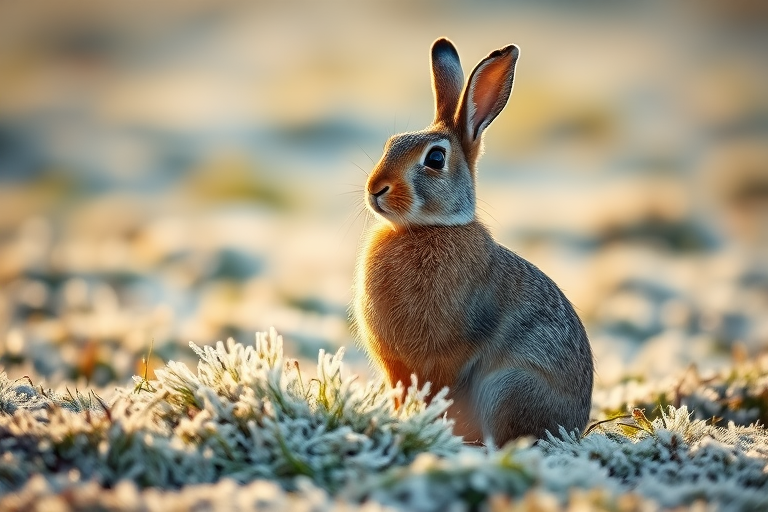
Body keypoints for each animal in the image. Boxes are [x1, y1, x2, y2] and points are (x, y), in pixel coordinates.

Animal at [352, 38, 593, 446]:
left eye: (435, 158)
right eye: (391, 143)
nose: (375, 188)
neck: (427, 228)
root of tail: (575, 426)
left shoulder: (448, 355)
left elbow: (437, 392)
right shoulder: (395, 365)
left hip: (508, 388)